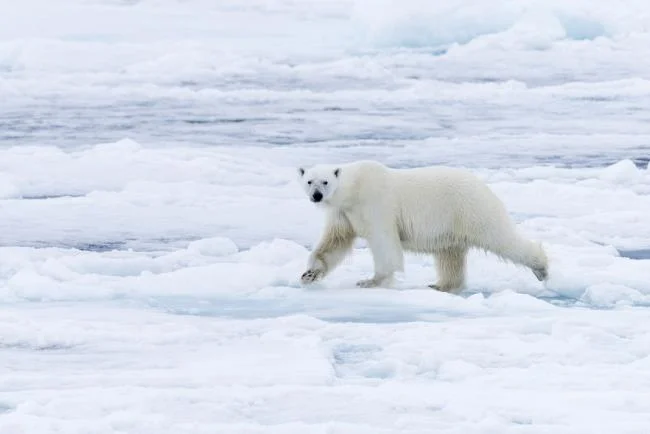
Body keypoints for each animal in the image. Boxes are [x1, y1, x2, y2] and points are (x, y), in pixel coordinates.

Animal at [297, 160, 548, 292]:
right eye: (309, 181)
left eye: (325, 181)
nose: (317, 196)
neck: (355, 187)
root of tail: (484, 186)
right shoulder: (343, 213)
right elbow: (334, 242)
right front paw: (309, 274)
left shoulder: (376, 203)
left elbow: (383, 241)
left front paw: (371, 281)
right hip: (452, 225)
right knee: (450, 256)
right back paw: (440, 285)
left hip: (470, 209)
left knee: (501, 237)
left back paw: (541, 268)